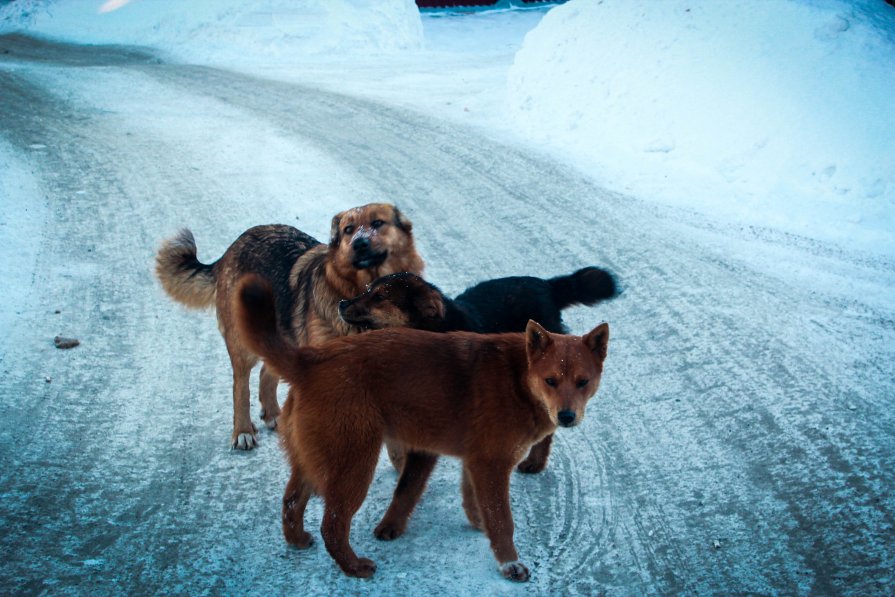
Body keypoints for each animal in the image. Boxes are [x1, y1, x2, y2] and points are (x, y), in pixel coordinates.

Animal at [155, 204, 428, 448]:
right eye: (348, 229)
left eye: (378, 223)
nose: (359, 243)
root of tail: (233, 247)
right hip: (243, 344)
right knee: (240, 385)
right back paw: (242, 431)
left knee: (267, 372)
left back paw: (273, 415)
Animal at [233, 274, 608, 584]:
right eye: (550, 380)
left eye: (583, 382)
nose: (567, 416)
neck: (517, 377)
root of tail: (309, 360)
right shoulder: (490, 465)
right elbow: (501, 520)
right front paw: (510, 564)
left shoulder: (475, 462)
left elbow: (473, 503)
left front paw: (478, 526)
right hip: (353, 464)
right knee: (333, 524)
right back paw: (355, 567)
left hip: (312, 458)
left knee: (291, 502)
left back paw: (298, 540)